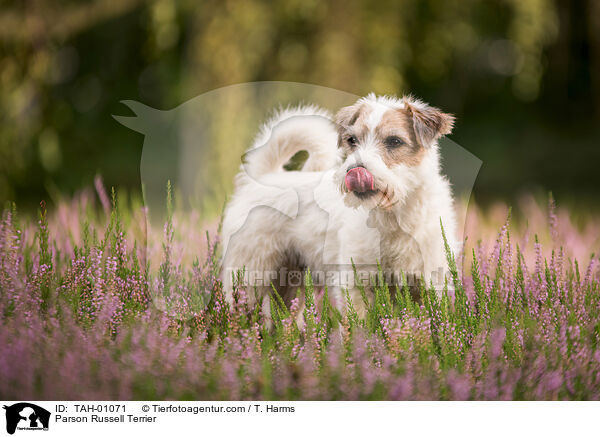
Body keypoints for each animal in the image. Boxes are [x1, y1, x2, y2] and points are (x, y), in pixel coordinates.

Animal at [223, 94, 458, 314]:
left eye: (394, 141)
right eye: (352, 140)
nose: (354, 171)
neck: (393, 214)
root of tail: (265, 177)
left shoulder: (429, 286)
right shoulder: (355, 285)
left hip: (287, 287)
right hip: (250, 278)